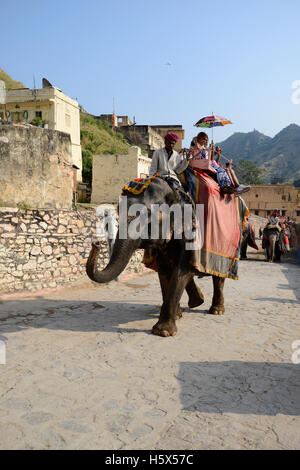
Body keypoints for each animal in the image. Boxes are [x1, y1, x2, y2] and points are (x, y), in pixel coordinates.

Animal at [86, 177, 230, 338]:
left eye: (147, 215)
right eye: (118, 211)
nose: (96, 243)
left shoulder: (188, 232)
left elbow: (181, 271)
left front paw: (163, 331)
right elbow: (165, 271)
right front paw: (176, 317)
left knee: (218, 276)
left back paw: (216, 310)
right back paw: (196, 302)